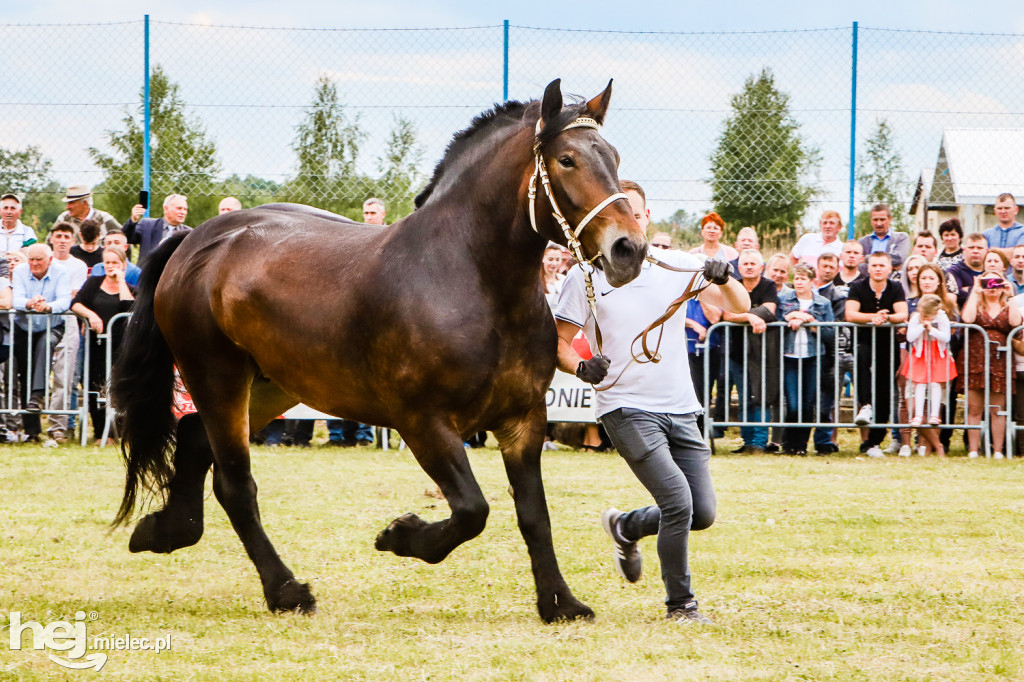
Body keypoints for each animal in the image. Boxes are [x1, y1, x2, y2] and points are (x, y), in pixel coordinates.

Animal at [108, 79, 643, 622]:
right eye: (567, 160)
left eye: (614, 156)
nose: (629, 249)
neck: (469, 279)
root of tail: (193, 239)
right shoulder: (424, 422)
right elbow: (472, 510)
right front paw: (400, 535)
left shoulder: (523, 419)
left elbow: (534, 515)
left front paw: (560, 602)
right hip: (216, 375)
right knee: (235, 484)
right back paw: (285, 590)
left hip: (271, 385)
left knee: (195, 438)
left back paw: (165, 530)